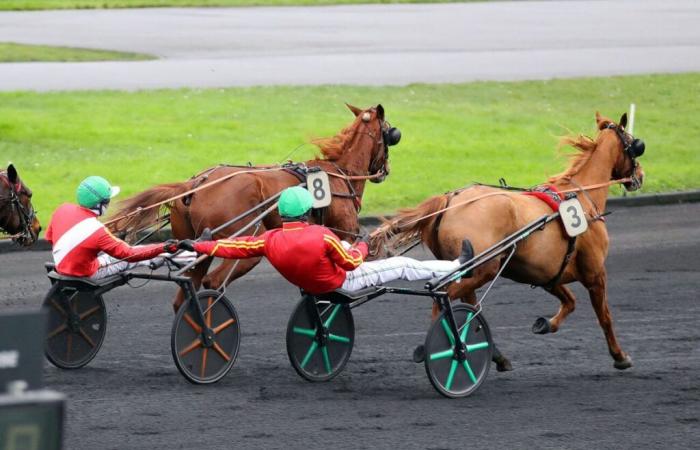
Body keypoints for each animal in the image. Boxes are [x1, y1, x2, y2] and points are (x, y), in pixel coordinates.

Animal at [113, 103, 402, 312]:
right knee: (213, 283)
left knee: (185, 293)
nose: (385, 170)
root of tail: (195, 184)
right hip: (243, 241)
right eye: (391, 134)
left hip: (194, 244)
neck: (338, 173)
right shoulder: (344, 234)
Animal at [372, 110, 644, 370]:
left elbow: (570, 301)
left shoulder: (547, 274)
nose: (640, 175)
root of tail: (449, 201)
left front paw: (546, 323)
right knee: (445, 298)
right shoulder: (595, 273)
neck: (580, 196)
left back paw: (495, 356)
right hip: (485, 268)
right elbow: (605, 317)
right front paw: (620, 356)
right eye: (635, 144)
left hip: (470, 271)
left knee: (467, 306)